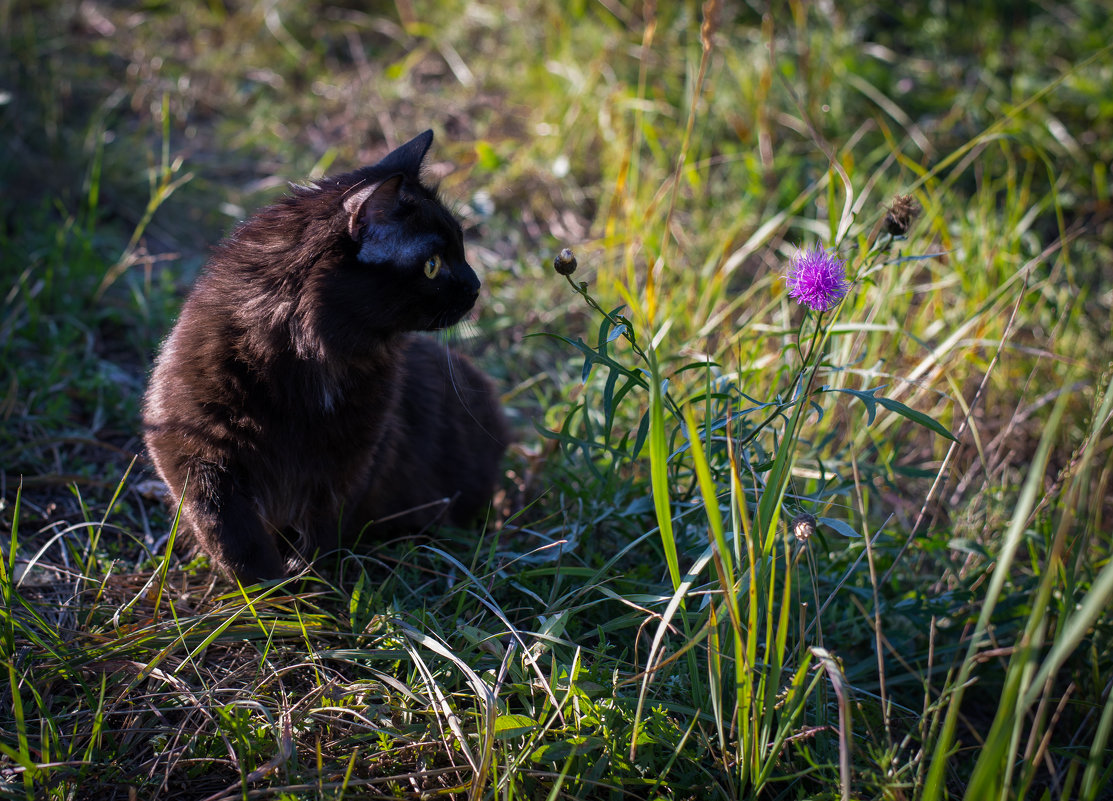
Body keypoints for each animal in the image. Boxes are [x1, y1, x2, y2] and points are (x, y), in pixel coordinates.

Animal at [141, 131, 509, 582]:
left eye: (461, 246)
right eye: (432, 265)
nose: (476, 286)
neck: (304, 368)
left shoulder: (351, 463)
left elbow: (320, 531)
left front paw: (306, 582)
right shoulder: (193, 450)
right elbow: (228, 532)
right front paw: (266, 589)